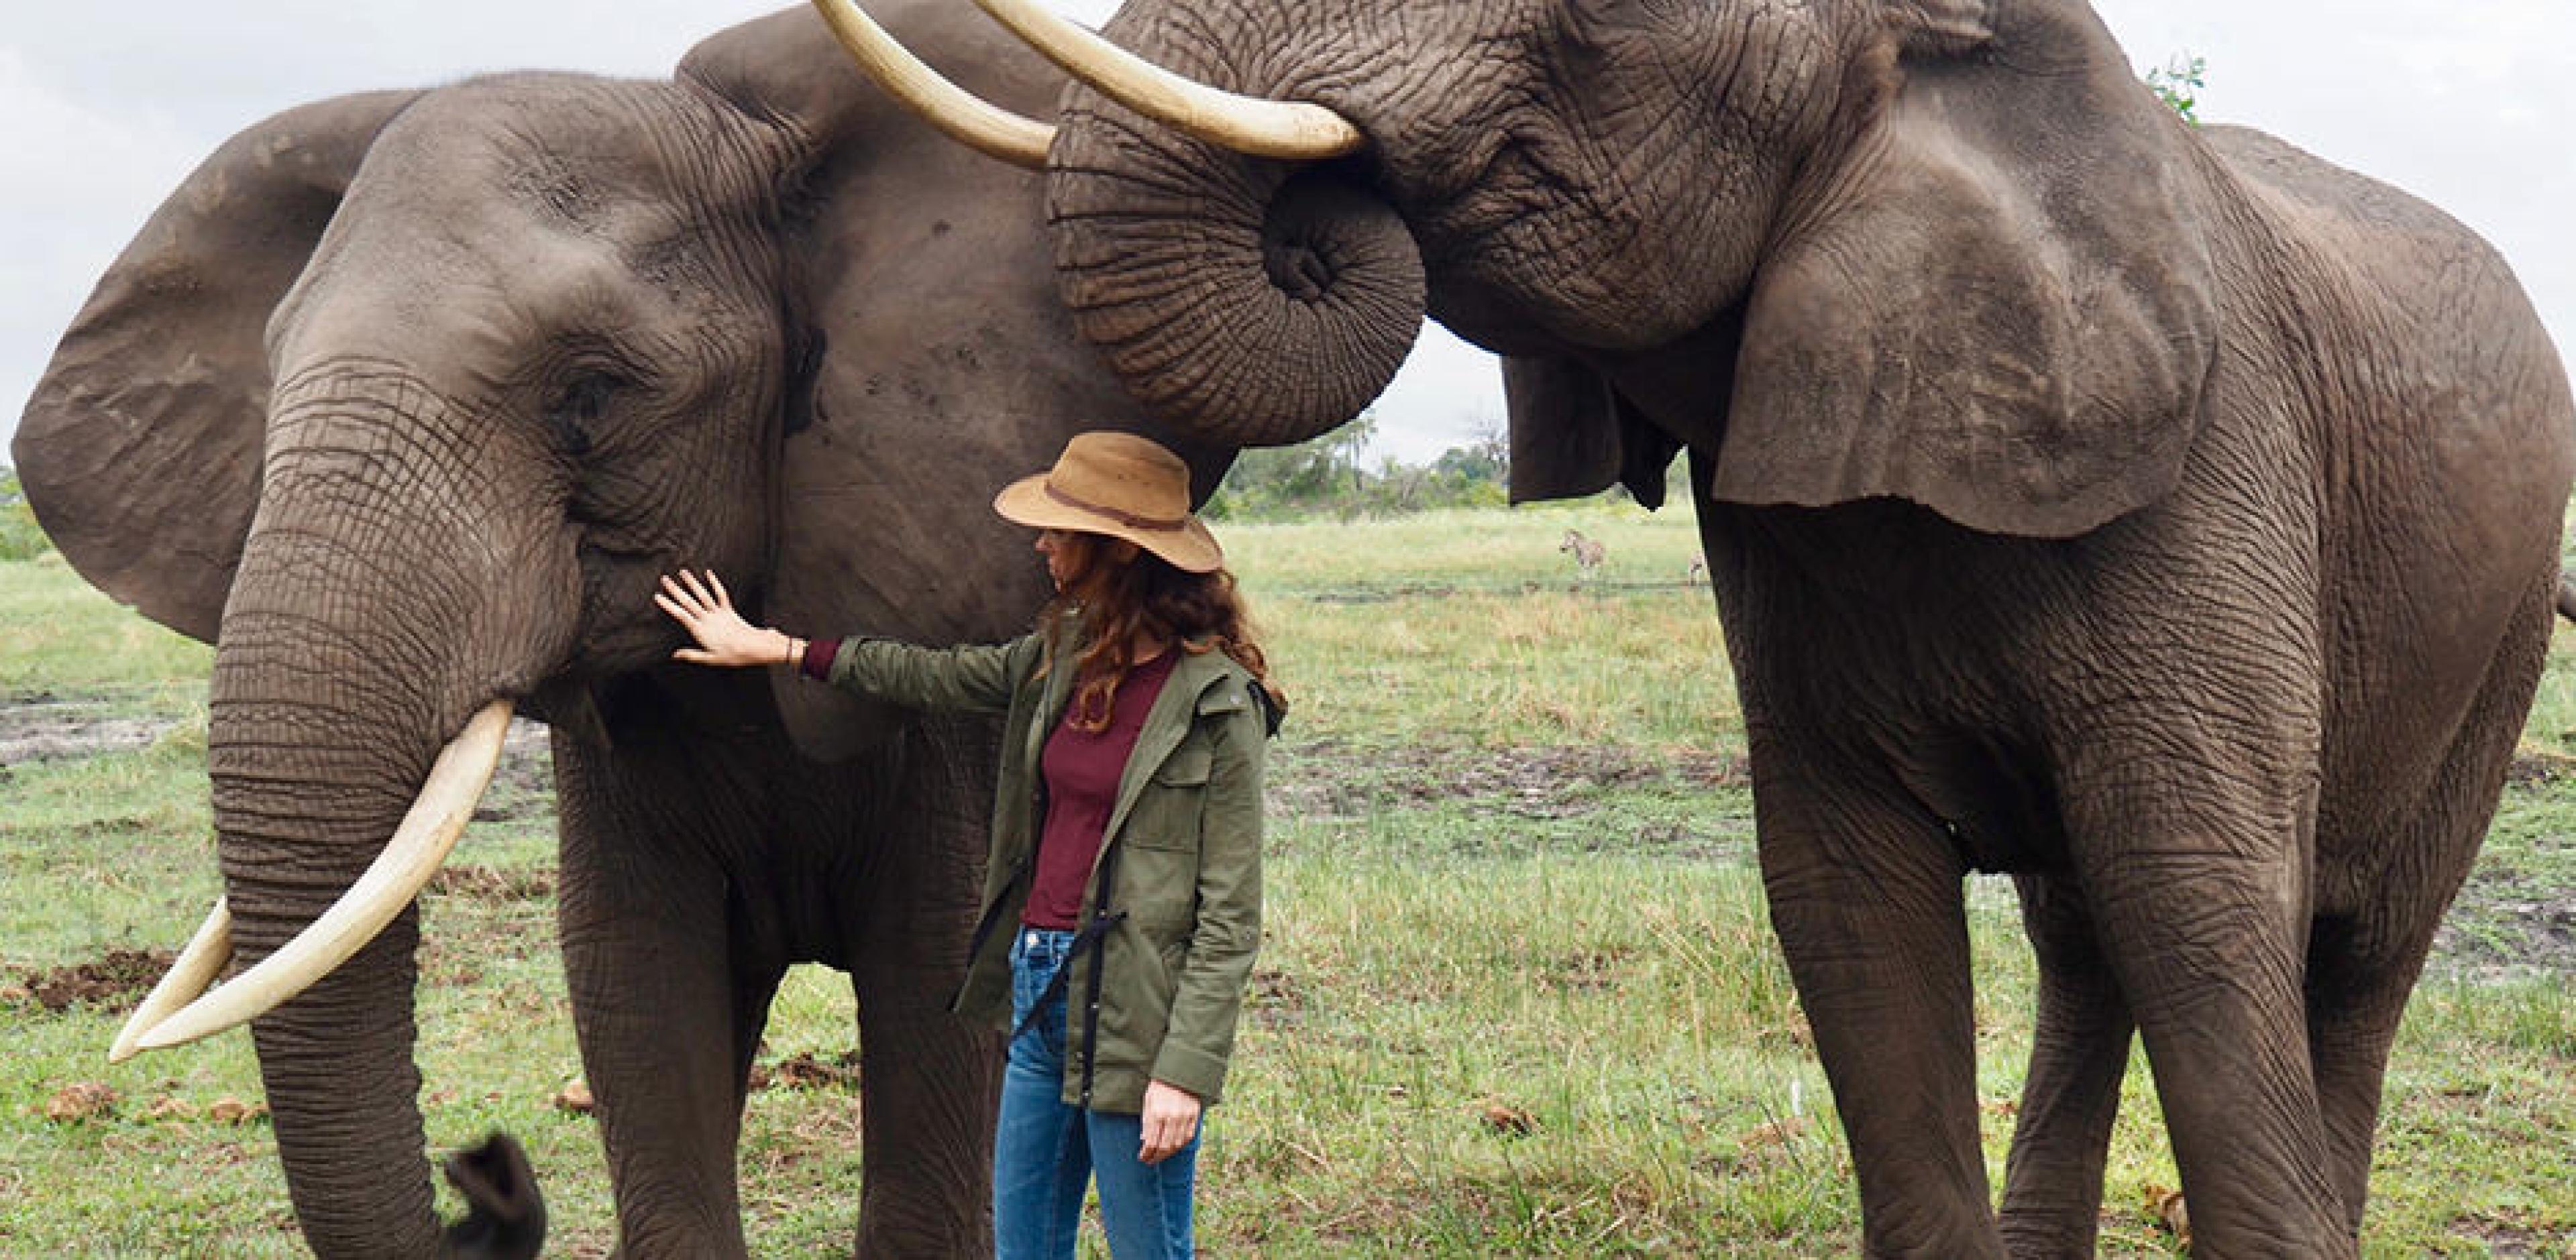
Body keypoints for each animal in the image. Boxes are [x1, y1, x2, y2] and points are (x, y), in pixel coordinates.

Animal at [811, 0, 2576, 1254]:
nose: (1327, 216)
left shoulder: (2213, 476)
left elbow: (2202, 898)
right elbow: (1849, 906)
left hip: (2496, 629)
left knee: (2345, 962)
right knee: (2088, 948)